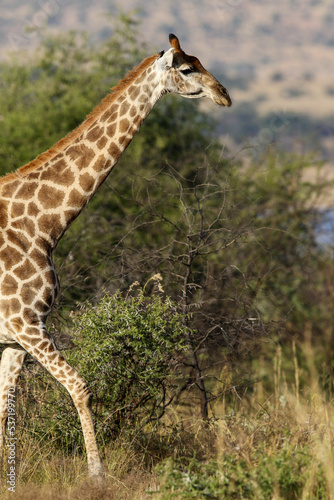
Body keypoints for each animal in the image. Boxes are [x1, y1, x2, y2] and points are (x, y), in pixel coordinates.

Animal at [0, 33, 231, 478]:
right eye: (187, 68)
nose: (224, 95)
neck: (44, 226)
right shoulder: (25, 323)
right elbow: (80, 386)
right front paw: (97, 474)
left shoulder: (15, 336)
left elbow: (5, 408)